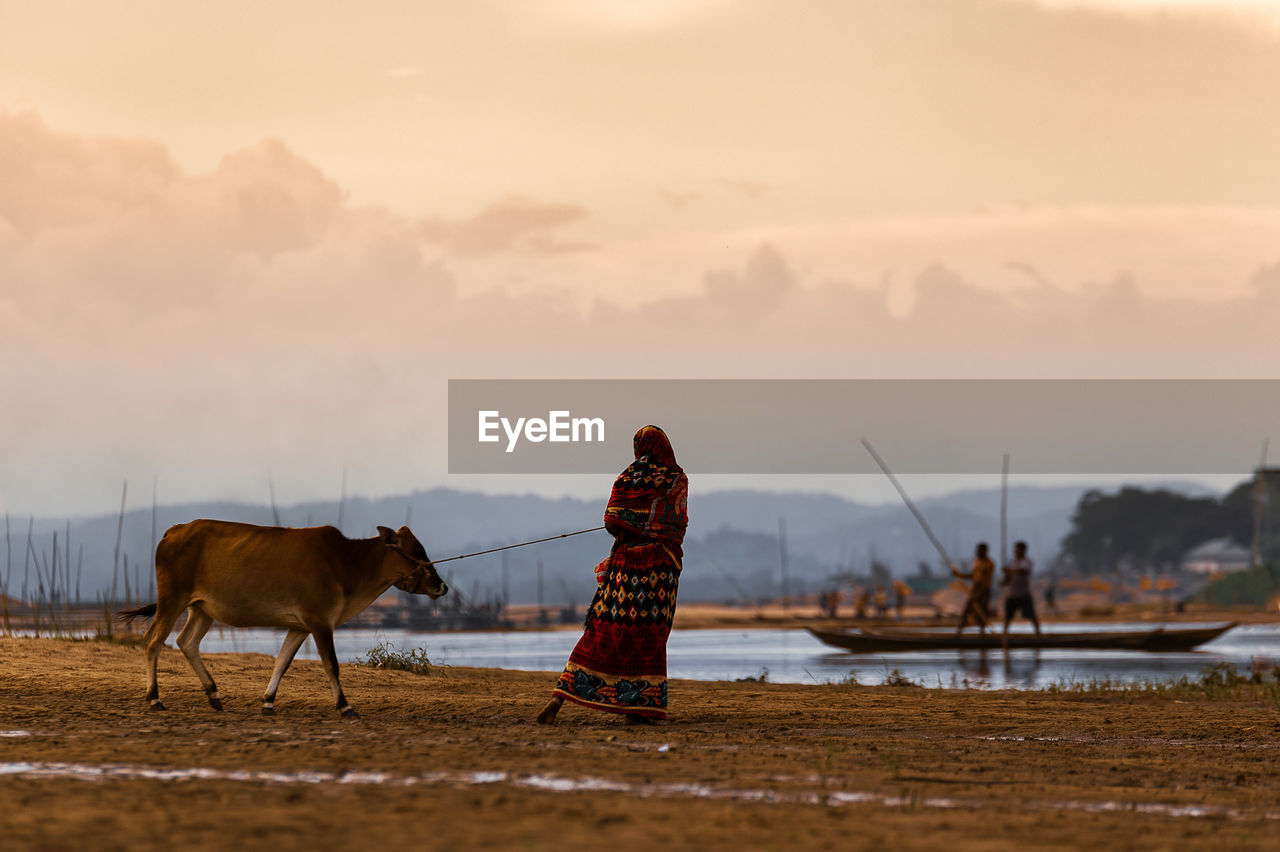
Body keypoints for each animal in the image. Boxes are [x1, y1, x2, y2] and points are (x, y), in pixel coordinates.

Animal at [120, 521, 448, 711]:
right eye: (418, 552)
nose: (442, 585)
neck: (347, 564)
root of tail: (174, 530)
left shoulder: (300, 626)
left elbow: (282, 661)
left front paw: (268, 701)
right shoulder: (320, 621)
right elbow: (331, 664)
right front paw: (344, 706)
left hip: (201, 608)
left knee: (186, 642)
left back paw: (214, 696)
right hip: (172, 599)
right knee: (153, 640)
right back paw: (155, 698)